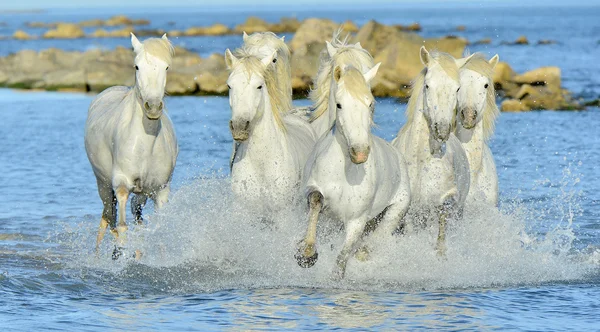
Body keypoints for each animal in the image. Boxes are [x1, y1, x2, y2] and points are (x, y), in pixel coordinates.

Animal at [85, 33, 178, 256]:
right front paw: (118, 256)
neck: (146, 144)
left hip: (142, 193)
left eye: (166, 67)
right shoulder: (121, 186)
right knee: (108, 218)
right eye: (137, 66)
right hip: (103, 184)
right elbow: (121, 227)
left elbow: (158, 228)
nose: (153, 107)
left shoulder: (160, 190)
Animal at [296, 63, 412, 280]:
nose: (360, 153)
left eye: (371, 103)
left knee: (368, 246)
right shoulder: (313, 192)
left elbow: (342, 259)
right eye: (339, 105)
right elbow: (316, 201)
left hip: (394, 212)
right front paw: (306, 253)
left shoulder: (357, 221)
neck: (345, 173)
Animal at [394, 46, 474, 254]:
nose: (442, 130)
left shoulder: (444, 200)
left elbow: (441, 236)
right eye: (428, 86)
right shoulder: (411, 211)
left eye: (457, 88)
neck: (421, 162)